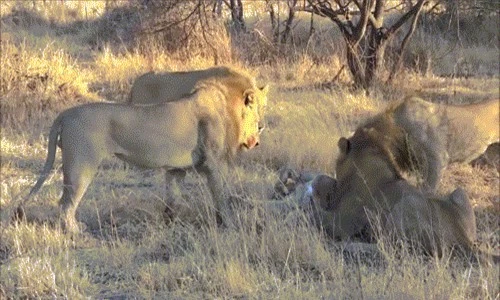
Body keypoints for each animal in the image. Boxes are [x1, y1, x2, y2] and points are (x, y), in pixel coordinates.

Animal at [23, 80, 268, 234]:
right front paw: (231, 224)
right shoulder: (214, 164)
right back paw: (74, 231)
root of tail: (65, 113)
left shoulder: (176, 169)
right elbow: (221, 196)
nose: (258, 140)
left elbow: (173, 197)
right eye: (259, 122)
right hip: (81, 165)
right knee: (66, 203)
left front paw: (171, 221)